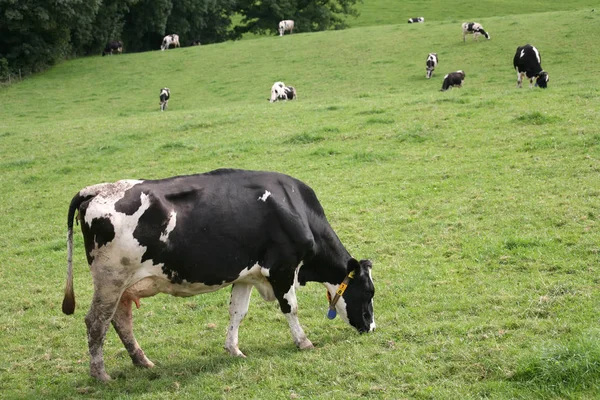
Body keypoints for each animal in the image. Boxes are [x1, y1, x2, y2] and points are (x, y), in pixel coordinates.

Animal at [63, 169, 378, 382]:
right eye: (369, 291)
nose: (372, 327)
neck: (294, 208)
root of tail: (96, 189)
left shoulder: (247, 275)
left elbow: (237, 312)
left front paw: (233, 349)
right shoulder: (282, 268)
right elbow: (291, 308)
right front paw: (303, 342)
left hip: (122, 285)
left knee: (120, 319)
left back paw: (142, 361)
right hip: (111, 279)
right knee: (96, 322)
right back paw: (100, 375)